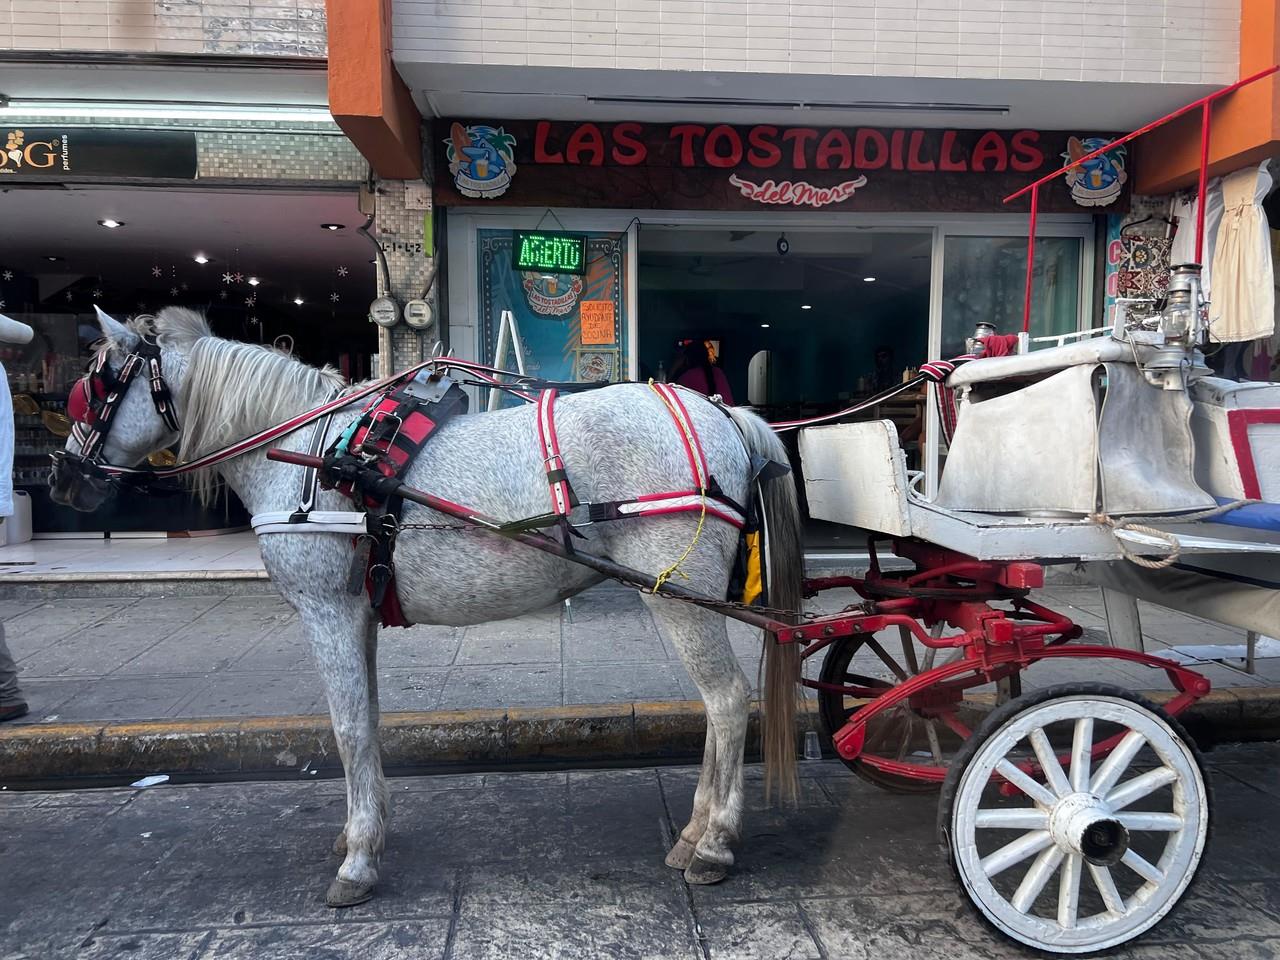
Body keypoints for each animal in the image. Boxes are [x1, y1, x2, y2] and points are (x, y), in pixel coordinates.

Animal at [55, 308, 803, 911]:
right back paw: (694, 830)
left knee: (726, 702)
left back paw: (715, 843)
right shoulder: (356, 615)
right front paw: (366, 828)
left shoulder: (326, 613)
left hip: (678, 593)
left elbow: (347, 730)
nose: (65, 479)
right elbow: (368, 720)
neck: (309, 454)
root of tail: (721, 414)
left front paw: (359, 859)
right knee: (716, 705)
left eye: (96, 386)